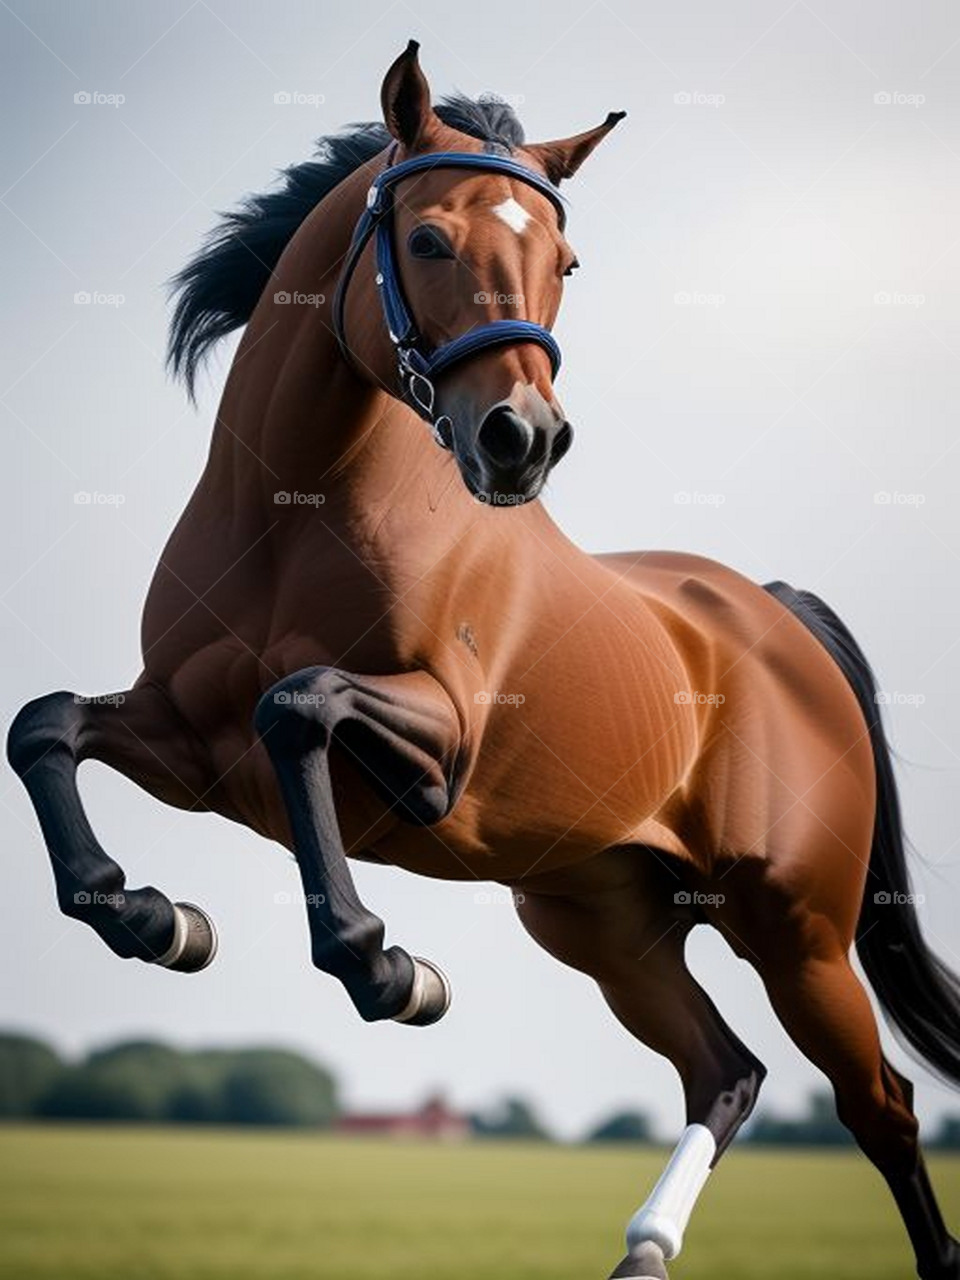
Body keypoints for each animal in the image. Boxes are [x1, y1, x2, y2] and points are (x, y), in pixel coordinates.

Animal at [9, 41, 960, 1280]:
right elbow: (47, 724)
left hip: (797, 932)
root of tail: (776, 614)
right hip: (604, 924)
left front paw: (393, 972)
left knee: (880, 1105)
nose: (525, 438)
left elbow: (297, 703)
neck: (290, 520)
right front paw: (164, 922)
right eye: (426, 240)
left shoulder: (444, 738)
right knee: (727, 1068)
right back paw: (642, 1249)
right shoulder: (188, 742)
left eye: (565, 258)